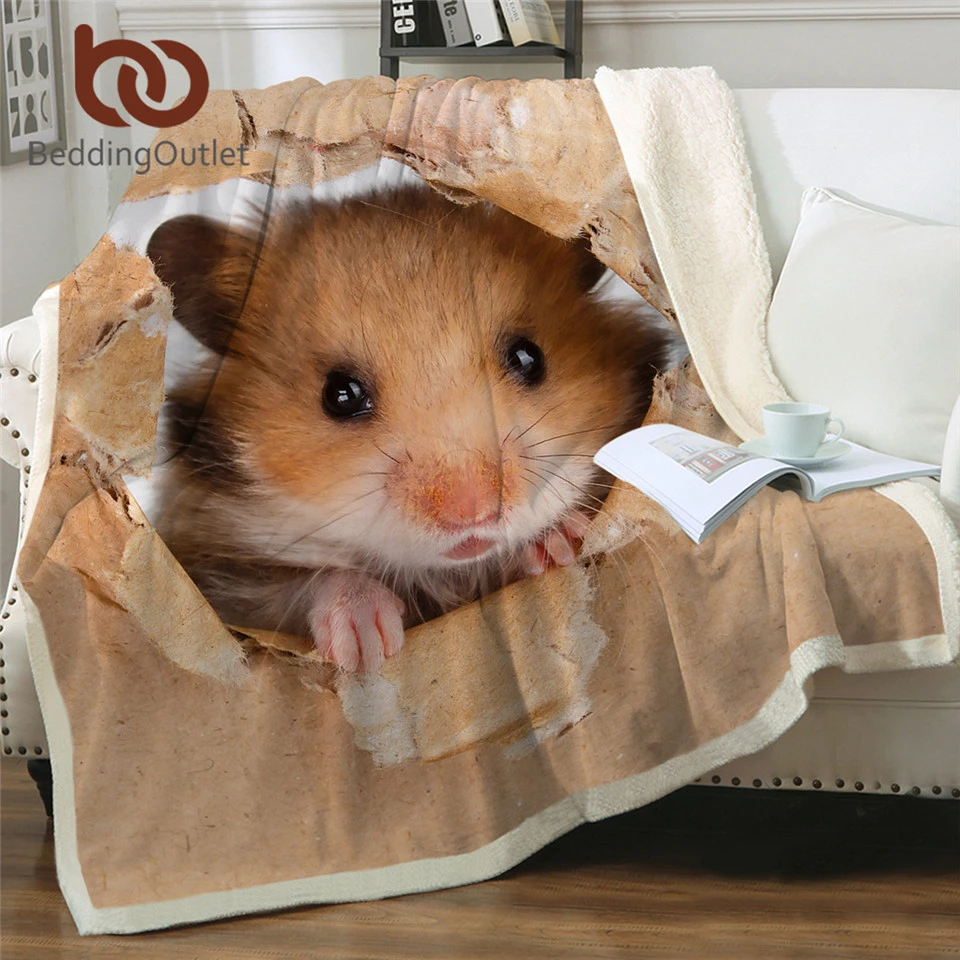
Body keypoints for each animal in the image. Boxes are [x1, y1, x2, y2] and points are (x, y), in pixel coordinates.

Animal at [146, 185, 670, 673]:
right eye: (339, 395)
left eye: (528, 357)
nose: (473, 514)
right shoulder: (218, 582)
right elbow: (310, 583)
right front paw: (368, 646)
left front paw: (558, 542)